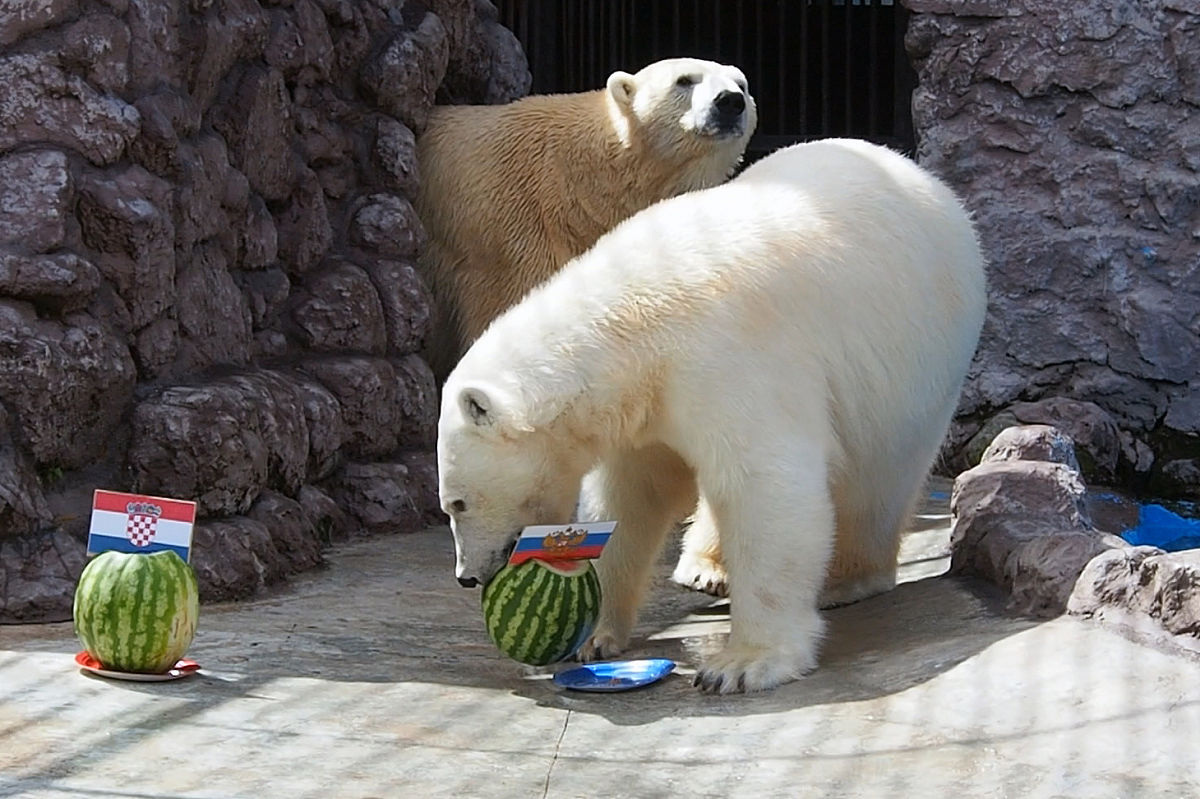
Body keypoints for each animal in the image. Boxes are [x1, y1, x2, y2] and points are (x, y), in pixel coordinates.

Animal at [436, 139, 987, 693]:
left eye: (456, 503)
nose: (466, 575)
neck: (633, 320)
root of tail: (927, 181)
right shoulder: (643, 406)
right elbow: (628, 497)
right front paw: (592, 638)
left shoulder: (730, 354)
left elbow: (765, 483)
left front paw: (742, 664)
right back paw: (705, 568)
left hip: (915, 362)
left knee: (876, 480)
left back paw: (847, 579)